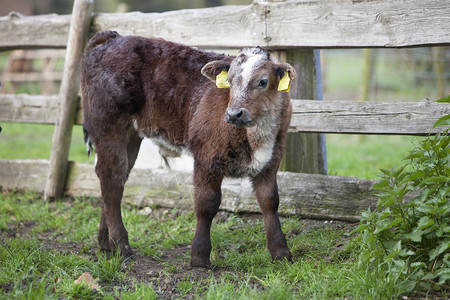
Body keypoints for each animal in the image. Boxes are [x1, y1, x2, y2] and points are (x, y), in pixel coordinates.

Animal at [81, 30, 296, 268]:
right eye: (229, 82)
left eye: (263, 81)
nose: (233, 114)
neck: (256, 136)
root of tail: (113, 37)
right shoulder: (207, 156)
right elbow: (207, 203)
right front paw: (200, 256)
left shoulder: (272, 158)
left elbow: (270, 201)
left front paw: (280, 251)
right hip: (108, 127)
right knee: (112, 179)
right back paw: (121, 245)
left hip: (130, 135)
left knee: (115, 180)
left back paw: (105, 242)